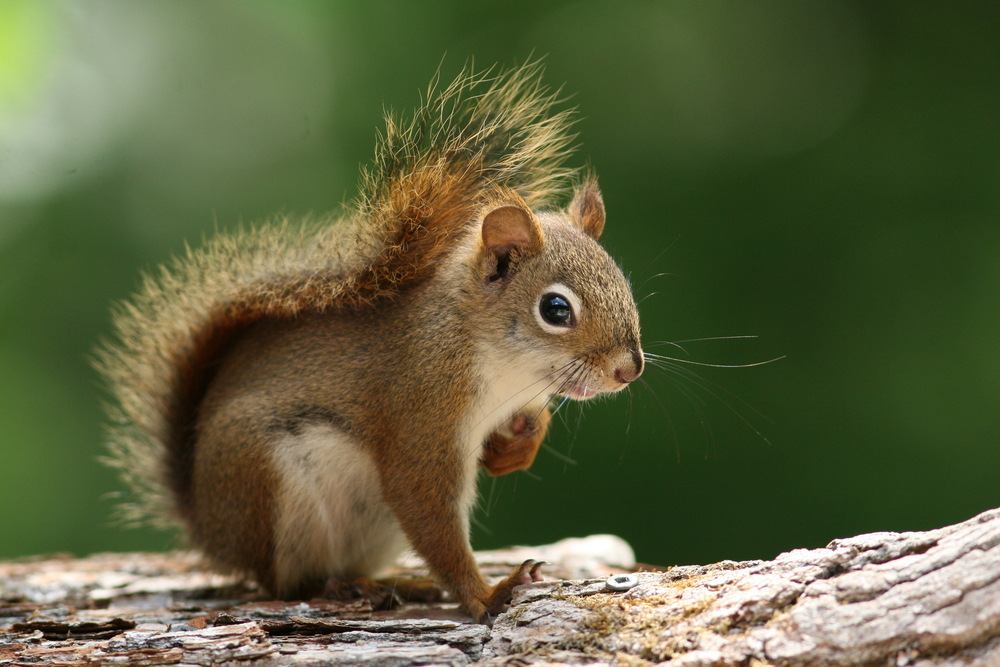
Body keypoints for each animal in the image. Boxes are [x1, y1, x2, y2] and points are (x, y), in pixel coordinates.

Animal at [95, 63, 643, 623]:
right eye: (555, 309)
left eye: (623, 281)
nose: (629, 369)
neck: (503, 368)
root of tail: (211, 530)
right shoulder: (420, 414)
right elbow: (426, 508)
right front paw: (486, 594)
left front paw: (517, 448)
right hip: (268, 484)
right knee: (287, 581)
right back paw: (343, 588)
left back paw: (399, 582)